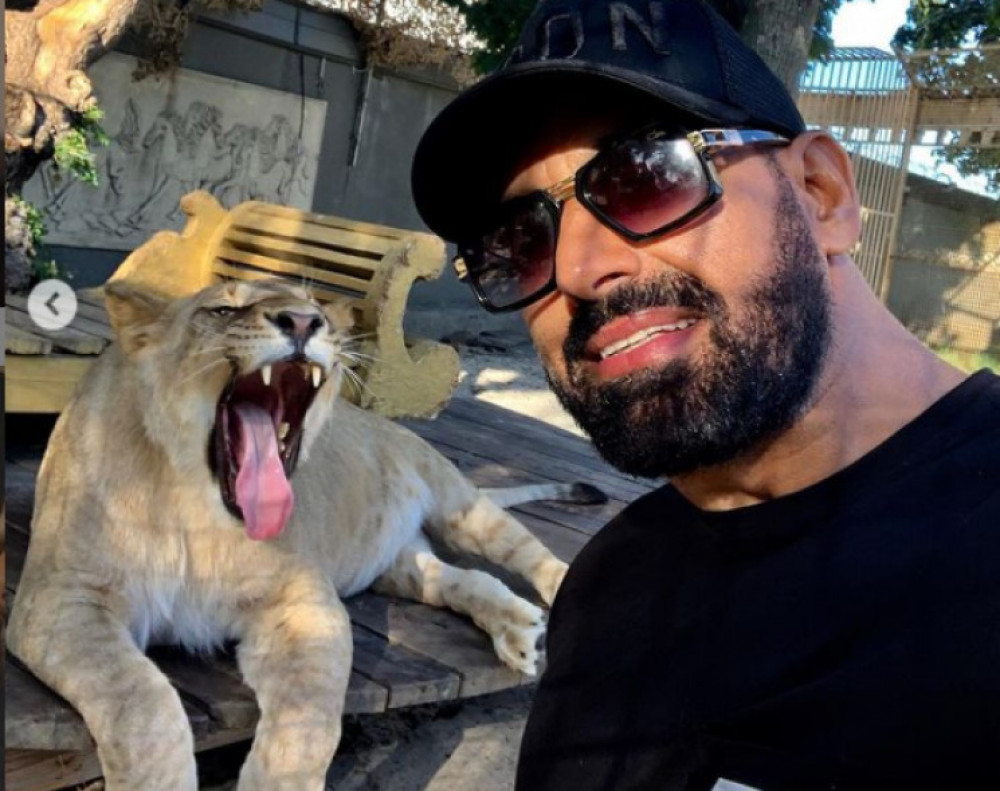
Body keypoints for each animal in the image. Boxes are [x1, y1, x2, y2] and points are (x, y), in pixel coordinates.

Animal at [6, 278, 604, 791]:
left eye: (315, 306)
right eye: (222, 308)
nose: (302, 321)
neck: (195, 508)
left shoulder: (304, 600)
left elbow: (306, 724)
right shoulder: (61, 598)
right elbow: (140, 701)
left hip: (458, 501)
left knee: (527, 553)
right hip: (398, 566)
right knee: (457, 580)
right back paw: (515, 629)